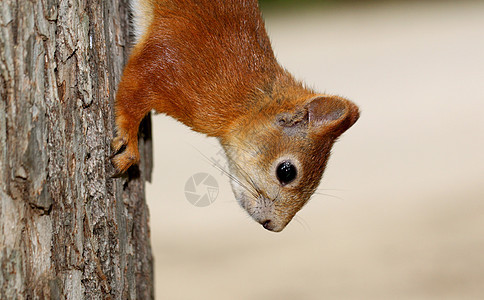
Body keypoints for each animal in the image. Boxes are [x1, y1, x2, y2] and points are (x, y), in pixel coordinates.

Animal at [111, 0, 358, 232]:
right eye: (286, 172)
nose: (273, 226)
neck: (248, 100)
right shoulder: (174, 64)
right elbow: (135, 90)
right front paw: (129, 145)